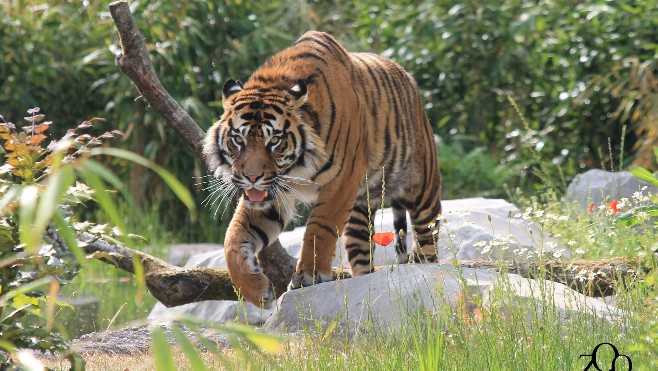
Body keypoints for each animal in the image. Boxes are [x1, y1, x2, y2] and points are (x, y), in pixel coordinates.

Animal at [202, 31, 444, 308]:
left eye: (274, 140)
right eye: (238, 140)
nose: (251, 177)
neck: (296, 168)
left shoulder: (342, 181)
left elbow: (320, 228)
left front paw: (310, 275)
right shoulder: (271, 193)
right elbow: (233, 237)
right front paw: (256, 290)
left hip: (423, 194)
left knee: (428, 241)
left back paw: (426, 274)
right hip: (359, 214)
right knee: (363, 255)